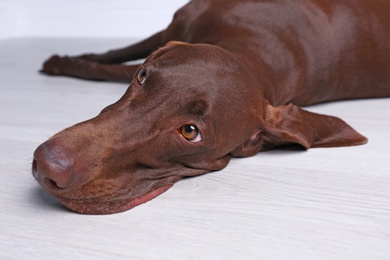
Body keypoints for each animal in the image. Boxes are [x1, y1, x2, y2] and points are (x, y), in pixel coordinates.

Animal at [32, 0, 390, 214]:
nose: (49, 164)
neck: (251, 50)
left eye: (190, 132)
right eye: (143, 76)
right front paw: (70, 59)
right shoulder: (173, 29)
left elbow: (107, 68)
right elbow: (112, 57)